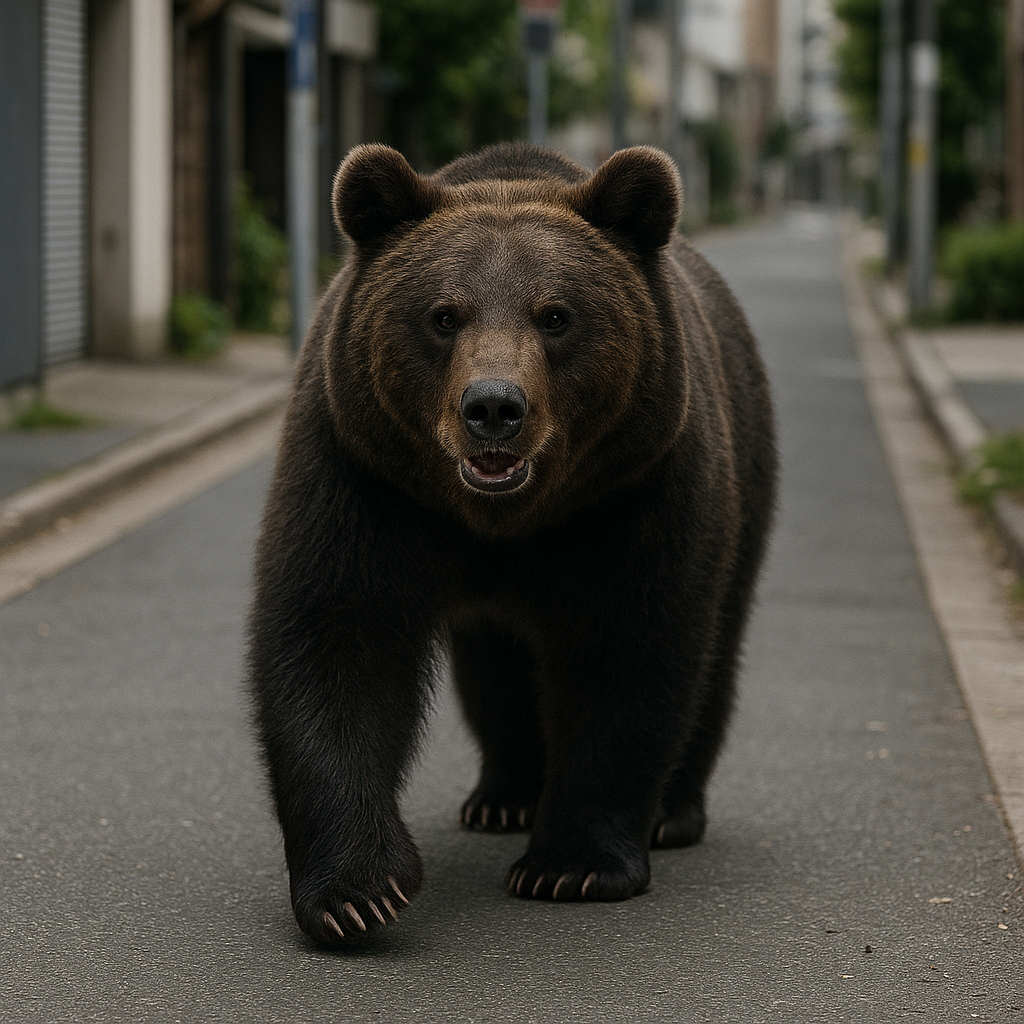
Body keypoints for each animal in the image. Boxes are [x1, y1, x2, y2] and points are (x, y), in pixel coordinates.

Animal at [247, 141, 777, 944]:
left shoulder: (632, 494)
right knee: (494, 666)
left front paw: (572, 865)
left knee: (715, 643)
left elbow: (628, 651)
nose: (494, 407)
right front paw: (358, 891)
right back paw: (503, 796)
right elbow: (337, 639)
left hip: (742, 478)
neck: (503, 519)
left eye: (556, 315)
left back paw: (672, 812)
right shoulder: (365, 477)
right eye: (443, 315)